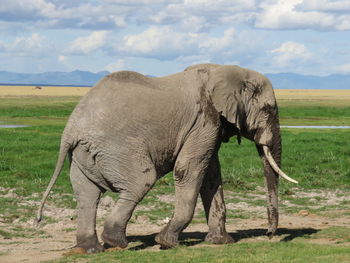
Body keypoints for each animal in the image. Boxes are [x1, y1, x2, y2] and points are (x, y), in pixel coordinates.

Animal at [37, 63, 296, 254]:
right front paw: (166, 243)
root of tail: (71, 129)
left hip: (82, 156)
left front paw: (222, 242)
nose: (270, 235)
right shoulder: (204, 120)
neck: (224, 70)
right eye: (269, 110)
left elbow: (211, 176)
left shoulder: (208, 126)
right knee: (139, 182)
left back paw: (90, 249)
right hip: (117, 149)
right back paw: (116, 243)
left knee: (87, 196)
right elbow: (188, 170)